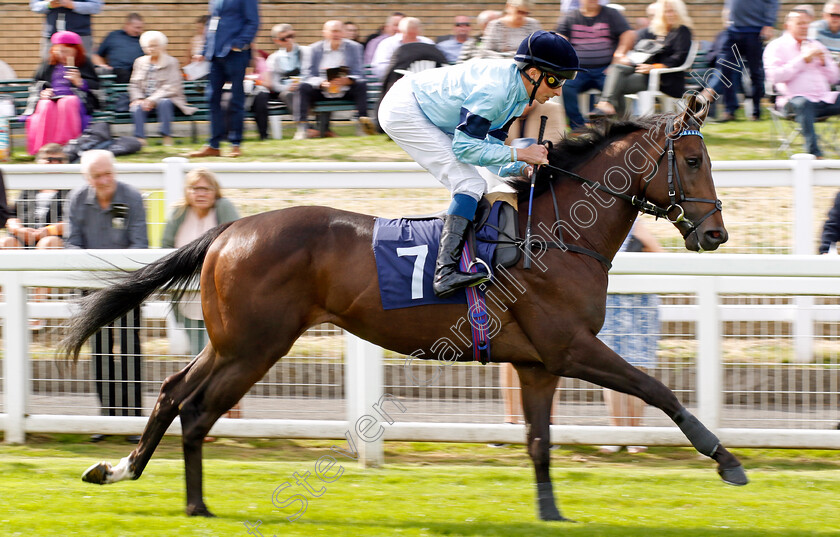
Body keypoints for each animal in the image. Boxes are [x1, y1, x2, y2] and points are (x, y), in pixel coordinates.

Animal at [67, 96, 748, 520]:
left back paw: (137, 478)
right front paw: (726, 461)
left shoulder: (537, 364)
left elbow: (538, 441)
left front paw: (552, 512)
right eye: (693, 161)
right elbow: (657, 389)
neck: (553, 235)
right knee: (195, 405)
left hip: (235, 340)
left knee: (177, 393)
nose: (716, 235)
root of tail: (230, 229)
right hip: (254, 344)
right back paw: (182, 497)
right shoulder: (570, 347)